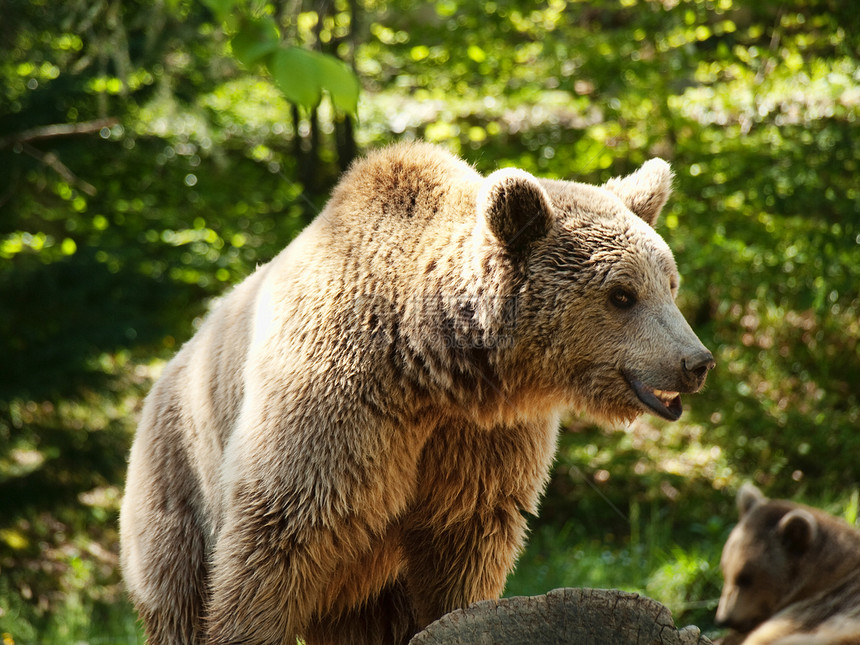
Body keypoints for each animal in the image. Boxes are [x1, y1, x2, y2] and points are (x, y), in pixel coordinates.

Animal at [119, 142, 712, 644]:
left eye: (670, 284)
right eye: (622, 294)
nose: (696, 362)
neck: (435, 366)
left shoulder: (481, 441)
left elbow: (465, 546)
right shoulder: (335, 409)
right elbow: (276, 538)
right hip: (177, 481)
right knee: (177, 597)